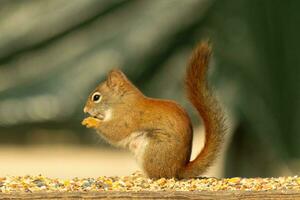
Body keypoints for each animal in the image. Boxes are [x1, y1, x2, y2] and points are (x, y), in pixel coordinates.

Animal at [82, 41, 225, 178]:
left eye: (96, 97)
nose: (85, 110)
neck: (121, 101)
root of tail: (177, 170)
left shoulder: (127, 117)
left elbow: (115, 131)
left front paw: (91, 121)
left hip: (153, 149)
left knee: (158, 175)